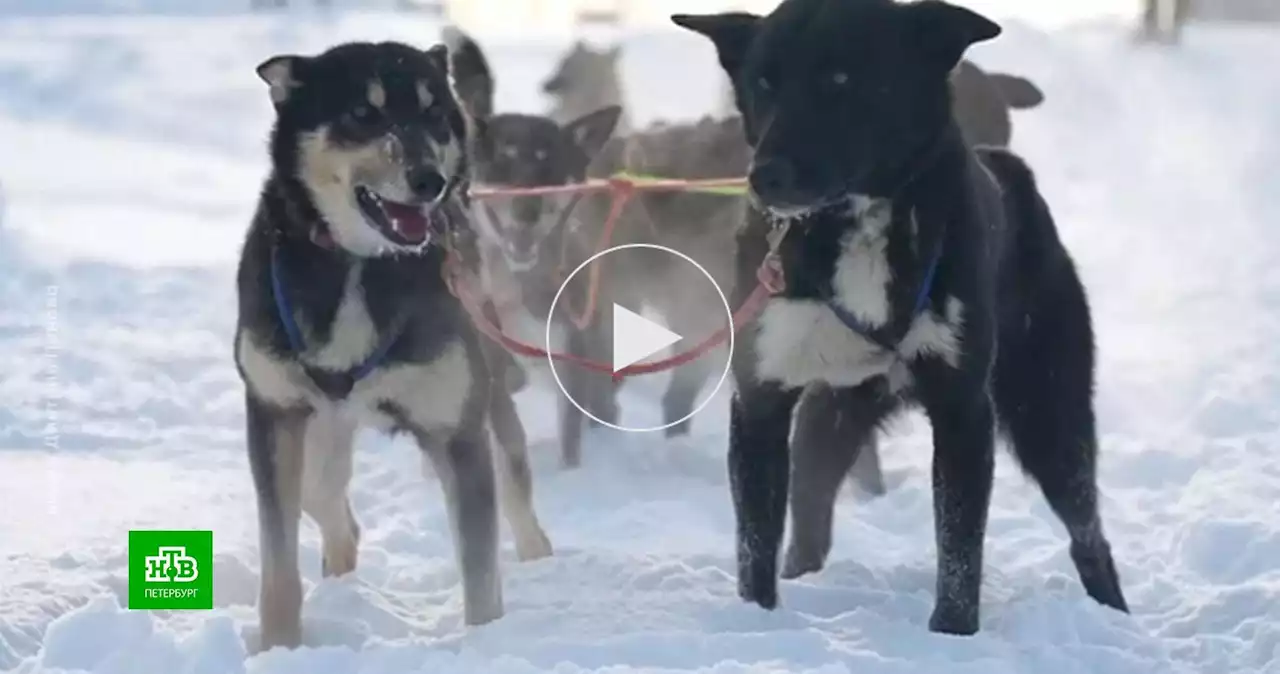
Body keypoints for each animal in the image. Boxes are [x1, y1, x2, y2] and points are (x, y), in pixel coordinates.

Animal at [234, 39, 550, 652]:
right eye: (363, 112)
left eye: (433, 112)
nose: (429, 180)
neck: (360, 264)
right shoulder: (274, 414)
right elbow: (278, 564)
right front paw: (280, 646)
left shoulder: (456, 431)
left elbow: (480, 571)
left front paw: (486, 645)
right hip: (318, 433)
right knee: (327, 502)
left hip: (486, 399)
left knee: (515, 481)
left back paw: (540, 557)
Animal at [670, 0, 1131, 639]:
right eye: (764, 82)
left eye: (840, 79)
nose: (766, 175)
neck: (857, 223)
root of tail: (1008, 167)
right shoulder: (762, 398)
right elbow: (755, 544)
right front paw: (756, 621)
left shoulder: (963, 410)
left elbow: (959, 547)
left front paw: (953, 635)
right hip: (830, 419)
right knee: (810, 514)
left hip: (1048, 415)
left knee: (1088, 530)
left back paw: (1114, 616)